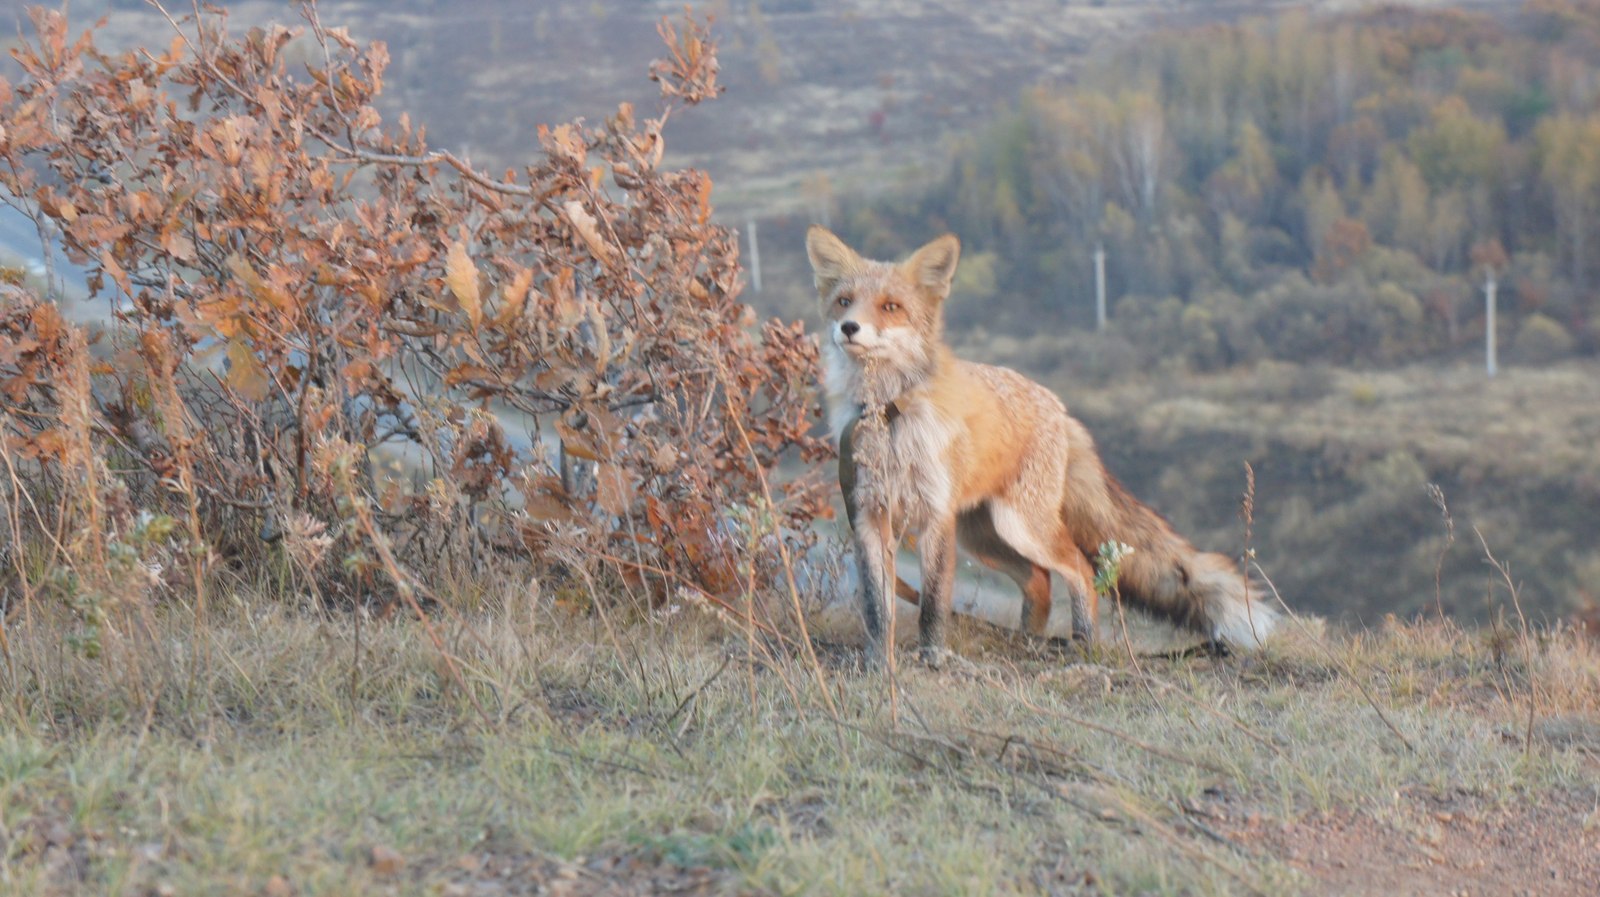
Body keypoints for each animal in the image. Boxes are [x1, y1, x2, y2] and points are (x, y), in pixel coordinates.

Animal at [806, 225, 1280, 665]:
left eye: (891, 307)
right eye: (844, 302)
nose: (849, 328)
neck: (887, 411)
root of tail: (1059, 409)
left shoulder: (935, 517)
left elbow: (933, 604)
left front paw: (933, 659)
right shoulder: (868, 514)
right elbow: (876, 607)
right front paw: (877, 663)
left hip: (1021, 527)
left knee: (1080, 570)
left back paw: (1082, 642)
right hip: (986, 536)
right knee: (1039, 581)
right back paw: (1027, 641)